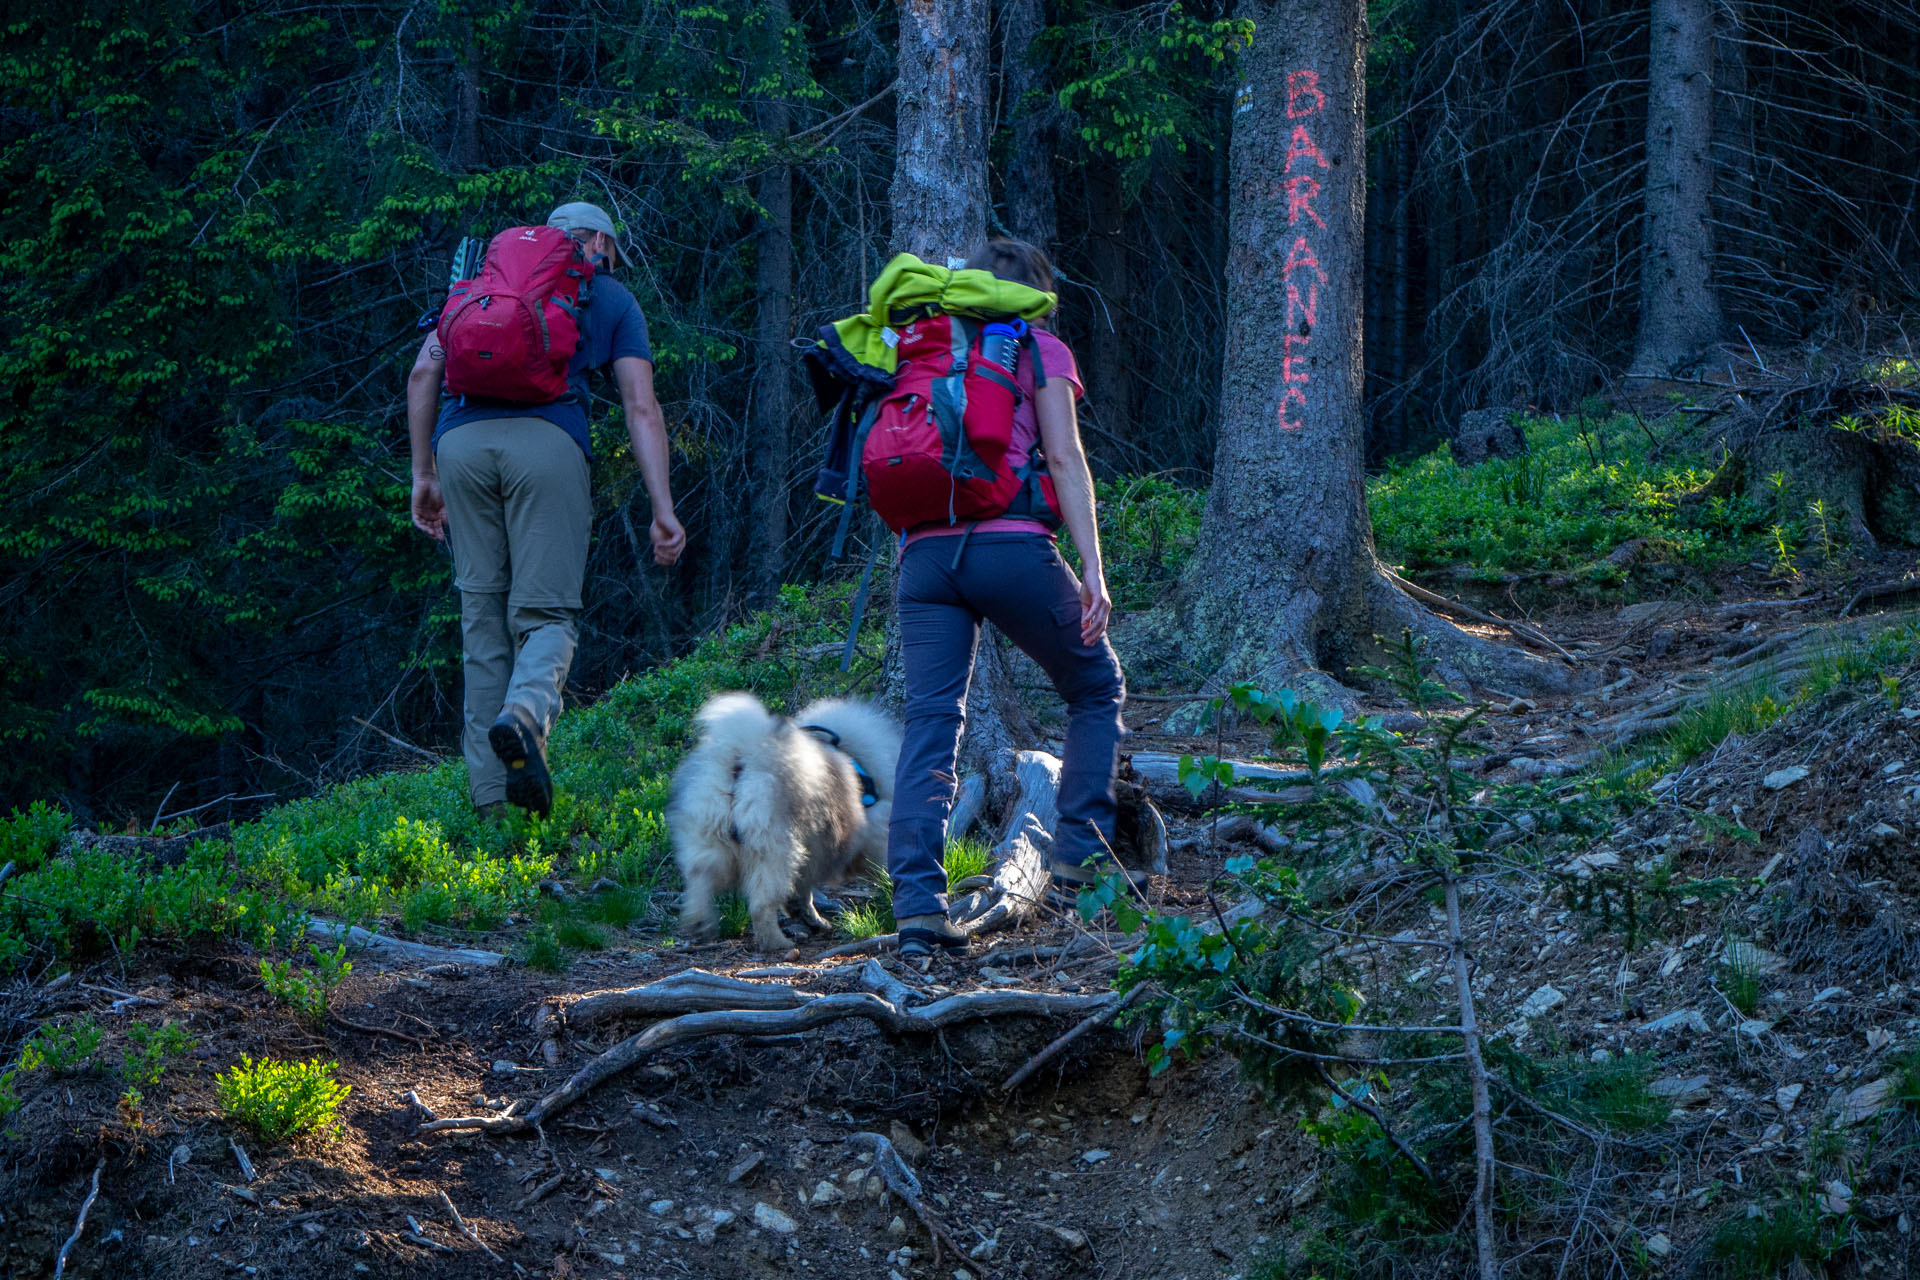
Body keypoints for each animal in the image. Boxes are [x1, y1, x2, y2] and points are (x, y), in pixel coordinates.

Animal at [668, 690, 898, 951]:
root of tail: (742, 758)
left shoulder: (812, 855)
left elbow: (802, 894)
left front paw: (810, 918)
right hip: (774, 851)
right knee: (761, 905)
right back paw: (777, 943)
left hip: (709, 839)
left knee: (700, 879)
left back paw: (700, 922)